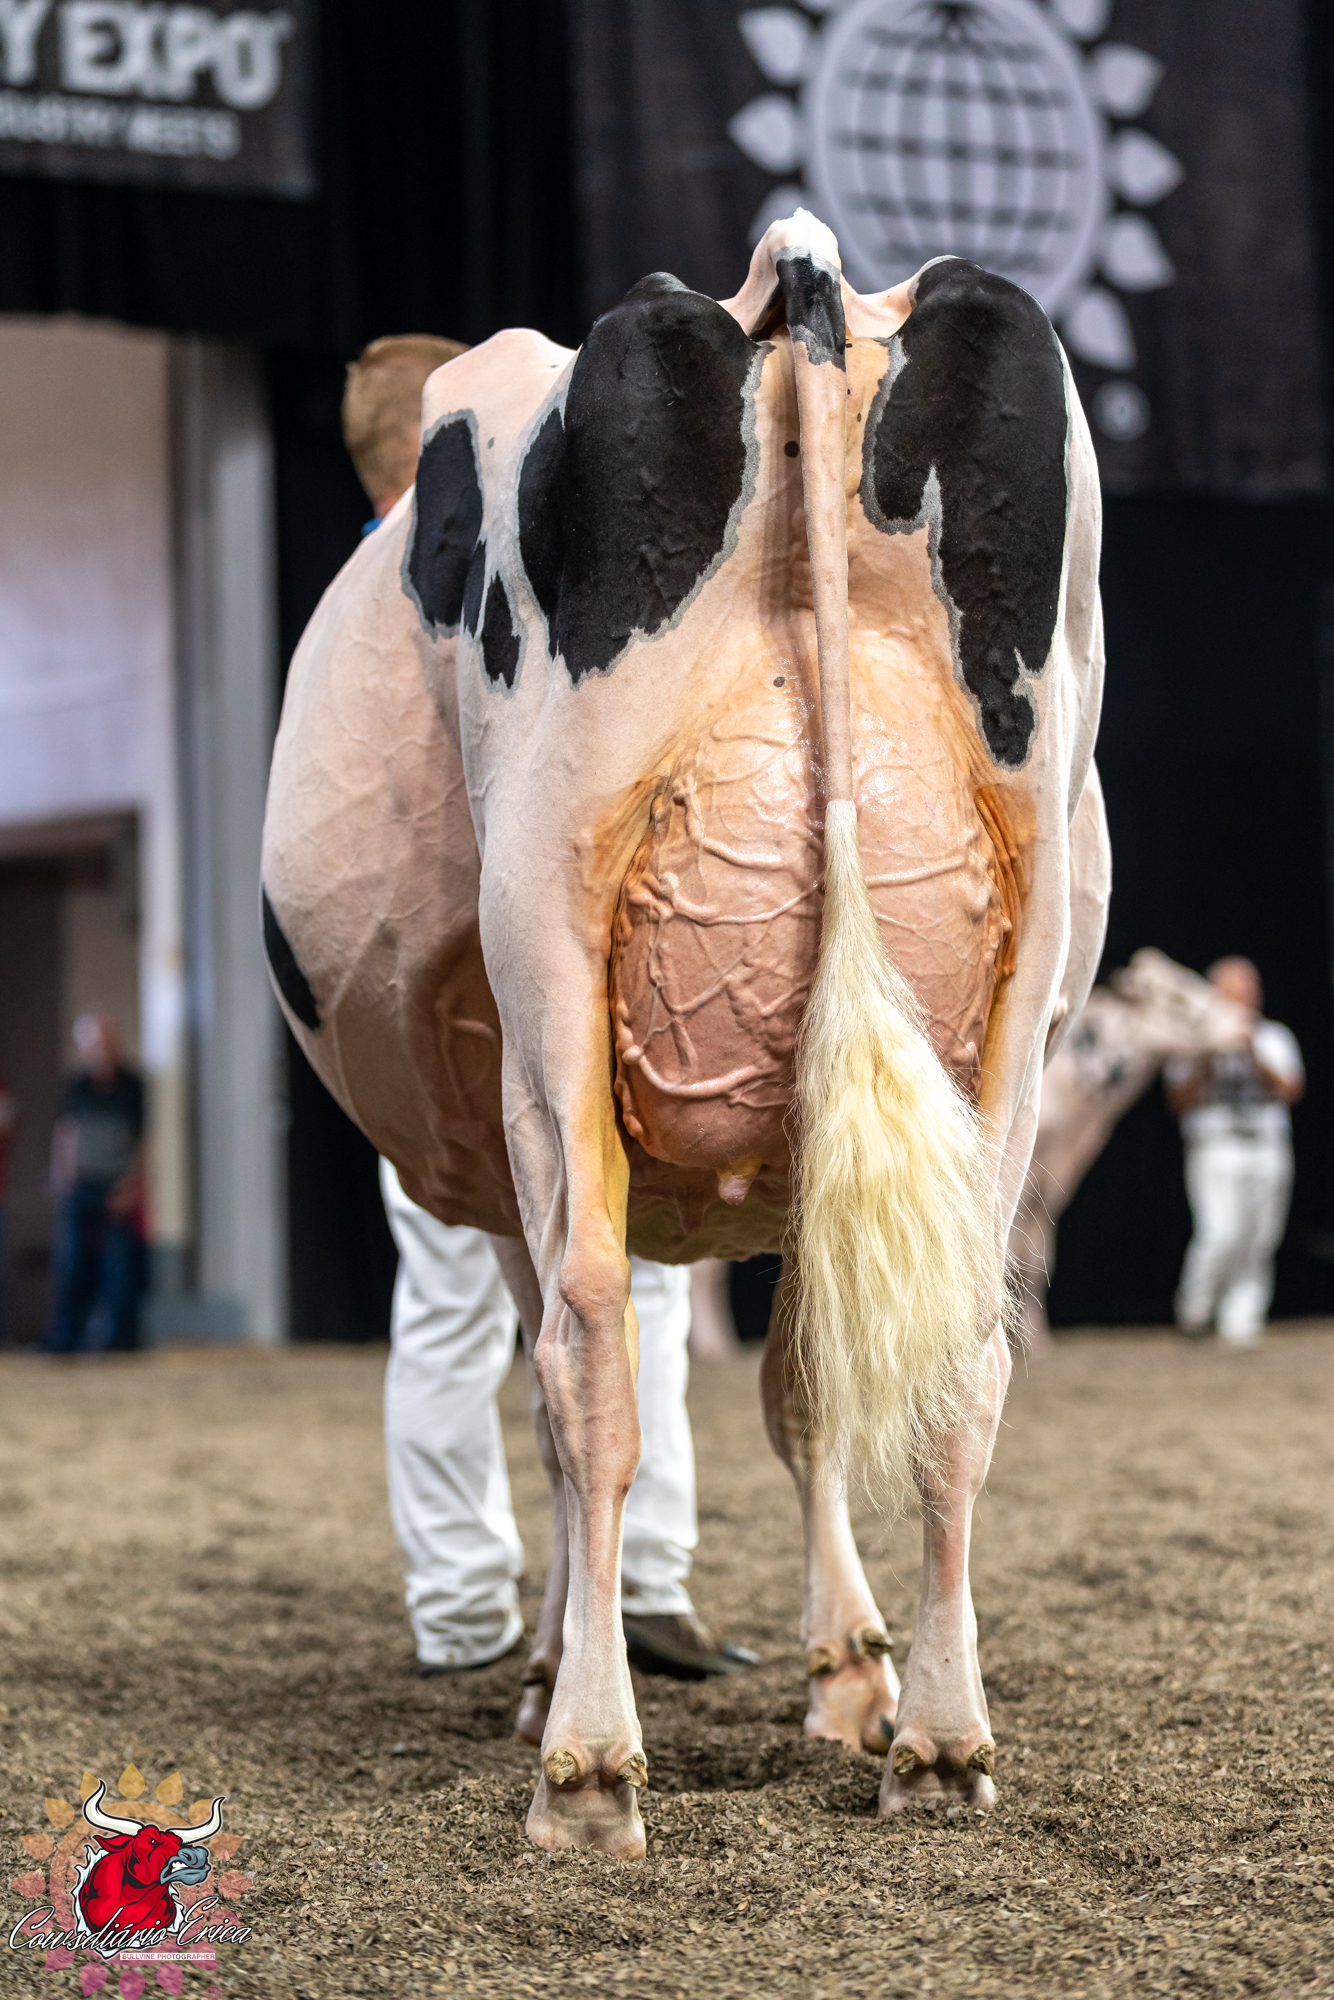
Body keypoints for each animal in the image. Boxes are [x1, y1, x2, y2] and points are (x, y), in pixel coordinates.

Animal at [261, 211, 1109, 1856]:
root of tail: (791, 280)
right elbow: (802, 1389)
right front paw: (850, 1676)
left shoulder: (497, 1163)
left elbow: (563, 1402)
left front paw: (556, 1675)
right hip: (1018, 993)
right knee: (962, 1349)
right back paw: (942, 1740)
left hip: (549, 936)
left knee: (586, 1349)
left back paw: (585, 1764)